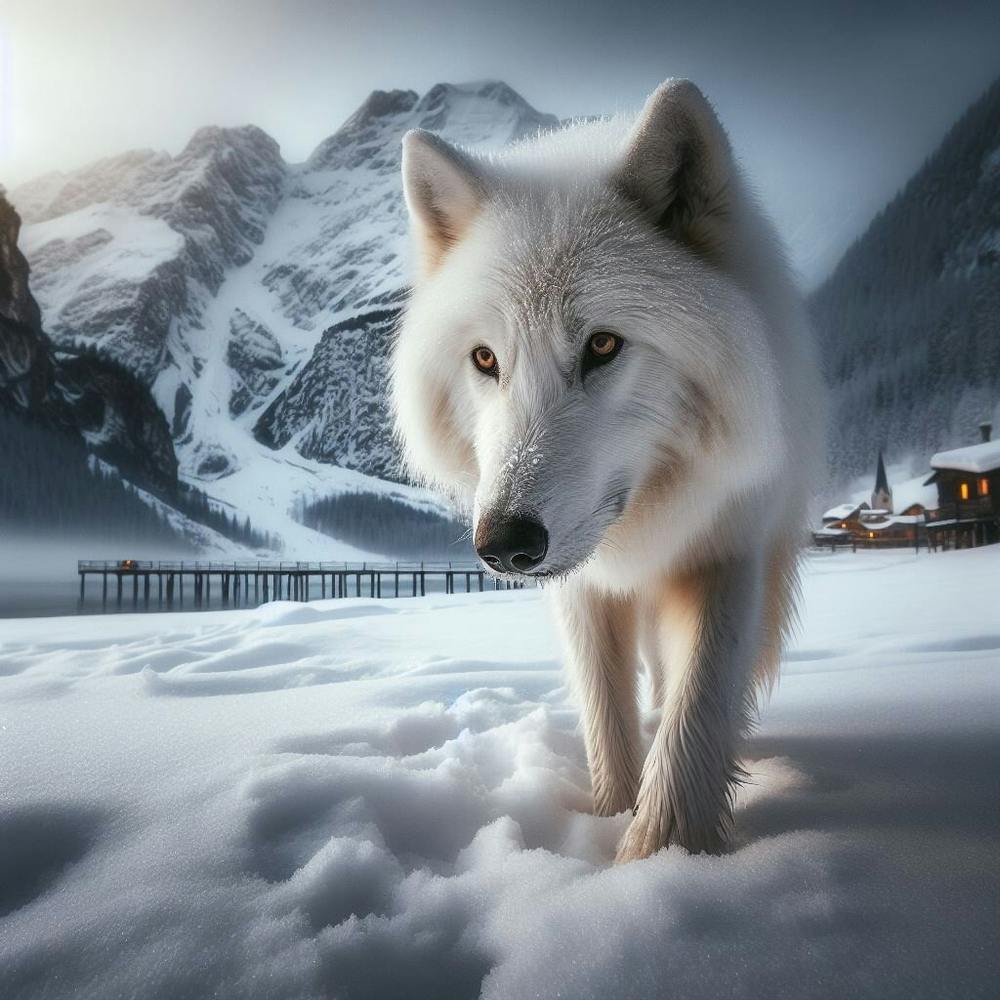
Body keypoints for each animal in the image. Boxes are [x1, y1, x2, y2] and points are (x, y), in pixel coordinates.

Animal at [391, 80, 824, 862]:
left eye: (602, 345)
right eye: (485, 359)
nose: (504, 544)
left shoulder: (731, 546)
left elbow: (700, 702)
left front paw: (662, 854)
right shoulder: (581, 586)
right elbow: (604, 715)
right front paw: (610, 818)